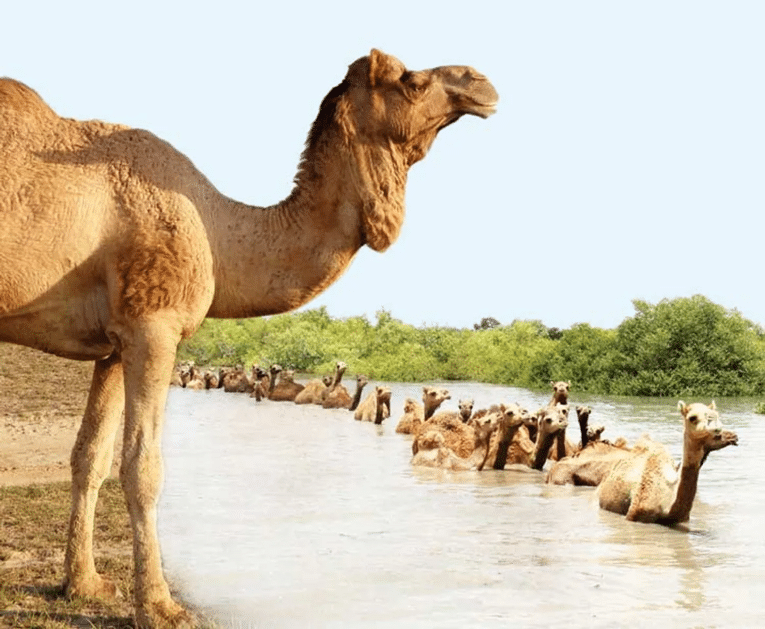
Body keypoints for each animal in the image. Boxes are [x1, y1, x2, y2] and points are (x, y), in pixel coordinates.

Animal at [0, 49, 497, 627]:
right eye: (411, 81)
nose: (482, 83)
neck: (218, 231)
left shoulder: (117, 339)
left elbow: (89, 459)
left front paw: (83, 586)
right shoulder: (155, 324)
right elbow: (142, 465)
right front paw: (160, 607)